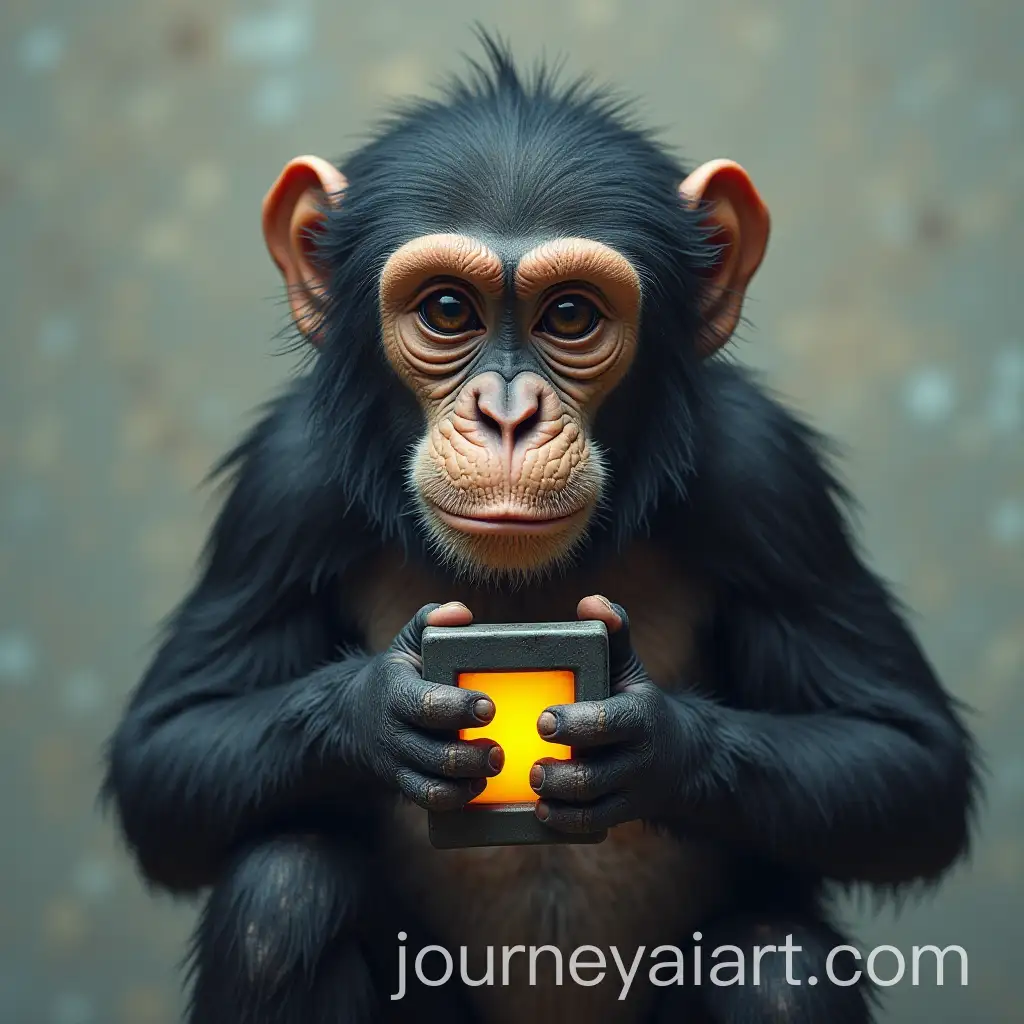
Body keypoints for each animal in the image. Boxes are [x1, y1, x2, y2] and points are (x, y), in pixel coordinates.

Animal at [102, 37, 978, 1024]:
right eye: (448, 311)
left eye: (571, 316)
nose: (509, 415)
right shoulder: (281, 489)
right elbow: (168, 748)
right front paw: (380, 712)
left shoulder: (769, 480)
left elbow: (905, 754)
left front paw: (648, 744)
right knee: (281, 894)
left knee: (777, 968)